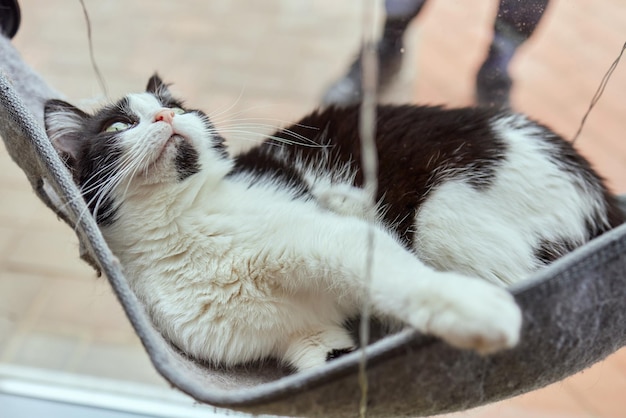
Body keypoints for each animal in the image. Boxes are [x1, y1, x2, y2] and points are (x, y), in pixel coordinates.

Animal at [42, 75, 620, 372]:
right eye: (118, 125)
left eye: (178, 107)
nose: (166, 118)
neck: (181, 230)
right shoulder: (307, 339)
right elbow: (330, 351)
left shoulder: (330, 236)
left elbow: (400, 278)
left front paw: (472, 311)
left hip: (448, 215)